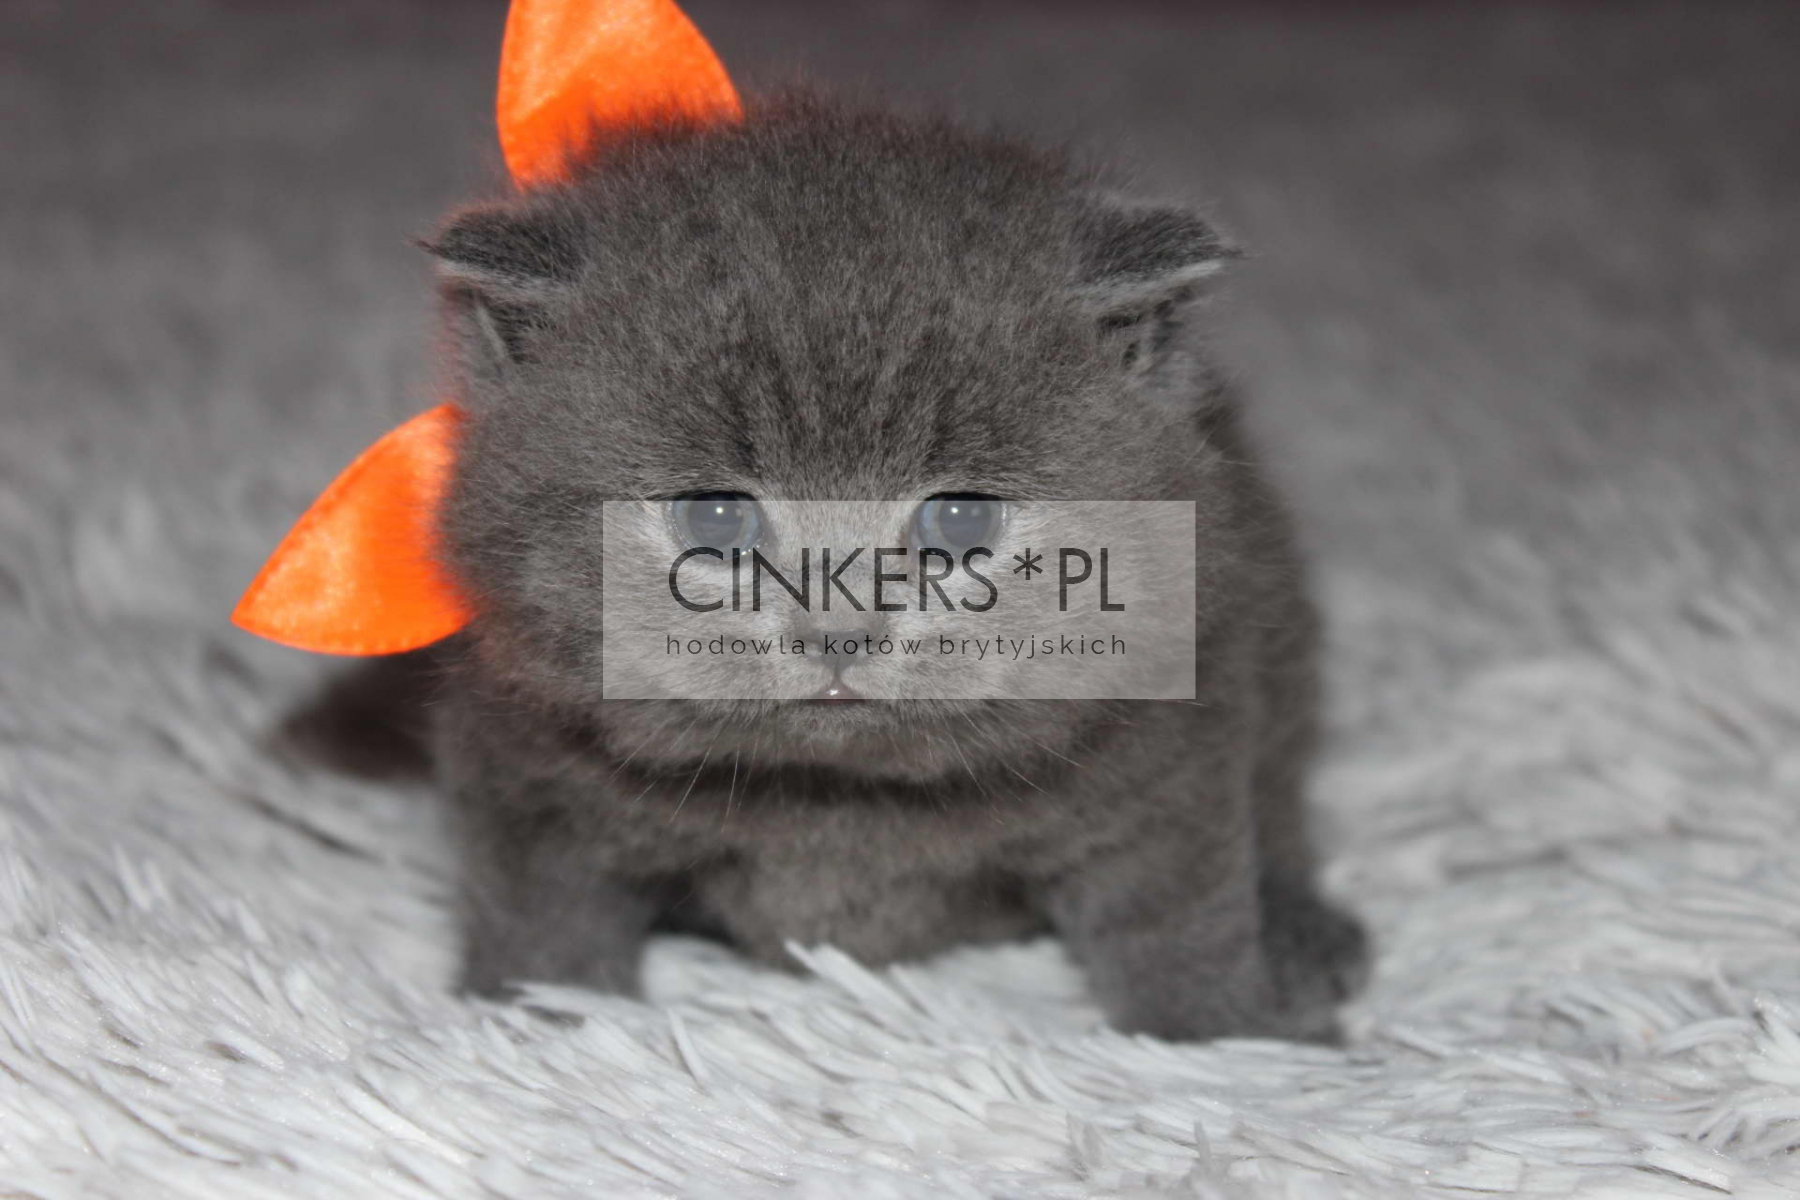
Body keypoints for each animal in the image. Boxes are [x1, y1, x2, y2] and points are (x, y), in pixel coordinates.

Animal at [421, 93, 1366, 1041]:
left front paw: (1225, 1036)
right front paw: (537, 1024)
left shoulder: (1174, 743)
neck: (837, 797)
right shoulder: (526, 772)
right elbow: (543, 917)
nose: (838, 630)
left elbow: (1180, 912)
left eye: (960, 519)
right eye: (715, 517)